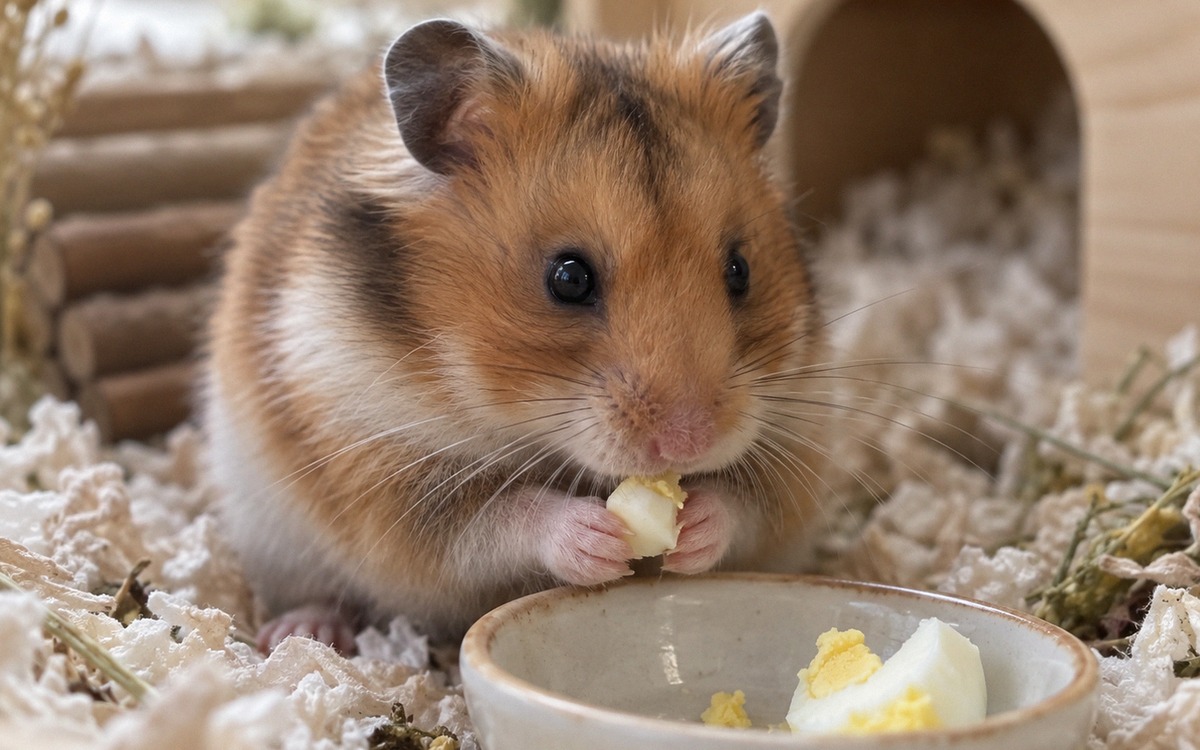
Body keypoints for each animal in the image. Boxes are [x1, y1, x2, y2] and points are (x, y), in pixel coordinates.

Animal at [203, 12, 826, 651]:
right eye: (569, 278)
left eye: (740, 270)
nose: (691, 442)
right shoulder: (381, 465)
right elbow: (497, 518)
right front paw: (596, 537)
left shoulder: (798, 443)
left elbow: (746, 503)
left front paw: (693, 525)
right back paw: (300, 631)